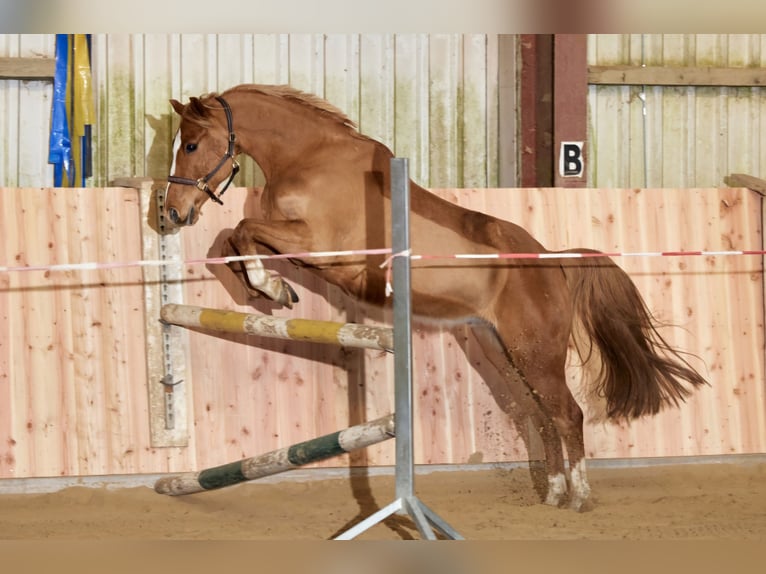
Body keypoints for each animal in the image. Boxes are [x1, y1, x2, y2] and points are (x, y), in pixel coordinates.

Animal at [164, 83, 708, 511]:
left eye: (190, 144)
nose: (170, 213)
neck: (311, 158)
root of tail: (550, 259)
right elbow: (235, 238)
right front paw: (266, 286)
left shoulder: (322, 246)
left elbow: (243, 227)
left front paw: (269, 285)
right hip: (503, 352)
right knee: (541, 417)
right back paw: (553, 493)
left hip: (537, 352)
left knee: (567, 414)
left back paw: (578, 497)